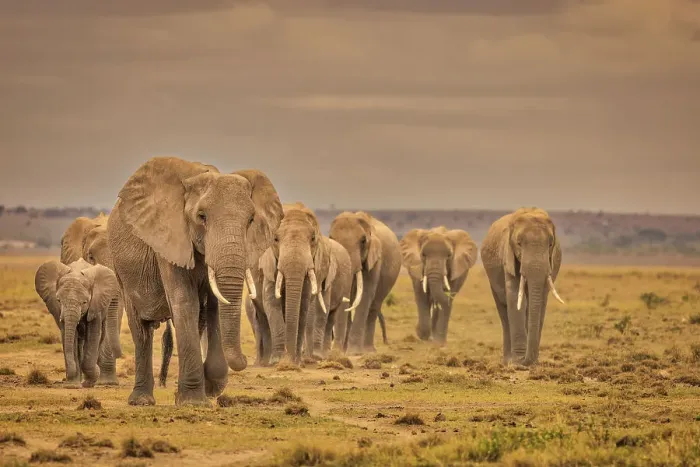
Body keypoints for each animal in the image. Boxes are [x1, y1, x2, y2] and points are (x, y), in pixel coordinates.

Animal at [34, 259, 120, 387]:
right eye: (58, 300)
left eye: (84, 302)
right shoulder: (59, 311)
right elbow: (69, 335)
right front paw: (72, 386)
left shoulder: (95, 304)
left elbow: (93, 335)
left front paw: (89, 381)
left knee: (99, 337)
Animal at [107, 157, 283, 406]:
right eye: (202, 216)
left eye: (250, 220)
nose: (246, 361)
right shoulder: (169, 238)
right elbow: (185, 303)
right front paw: (193, 401)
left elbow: (213, 306)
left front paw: (210, 388)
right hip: (121, 270)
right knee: (140, 329)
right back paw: (141, 400)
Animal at [328, 212, 401, 355]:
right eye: (331, 238)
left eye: (363, 241)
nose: (336, 351)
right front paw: (341, 352)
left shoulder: (375, 260)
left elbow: (365, 295)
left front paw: (353, 353)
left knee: (373, 307)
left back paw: (368, 350)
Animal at [480, 207, 565, 367]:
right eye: (519, 243)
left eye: (550, 244)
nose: (526, 361)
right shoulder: (508, 257)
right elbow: (515, 297)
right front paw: (518, 362)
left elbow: (540, 300)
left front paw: (531, 362)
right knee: (503, 310)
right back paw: (508, 361)